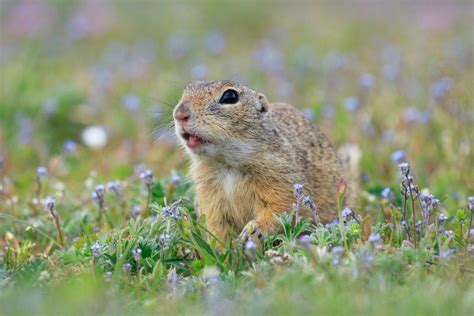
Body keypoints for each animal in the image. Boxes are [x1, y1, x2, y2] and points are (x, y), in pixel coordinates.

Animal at [173, 81, 356, 242]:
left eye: (230, 96)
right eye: (185, 91)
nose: (179, 114)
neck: (227, 164)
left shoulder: (280, 178)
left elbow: (280, 208)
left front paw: (252, 231)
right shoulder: (209, 195)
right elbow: (215, 225)